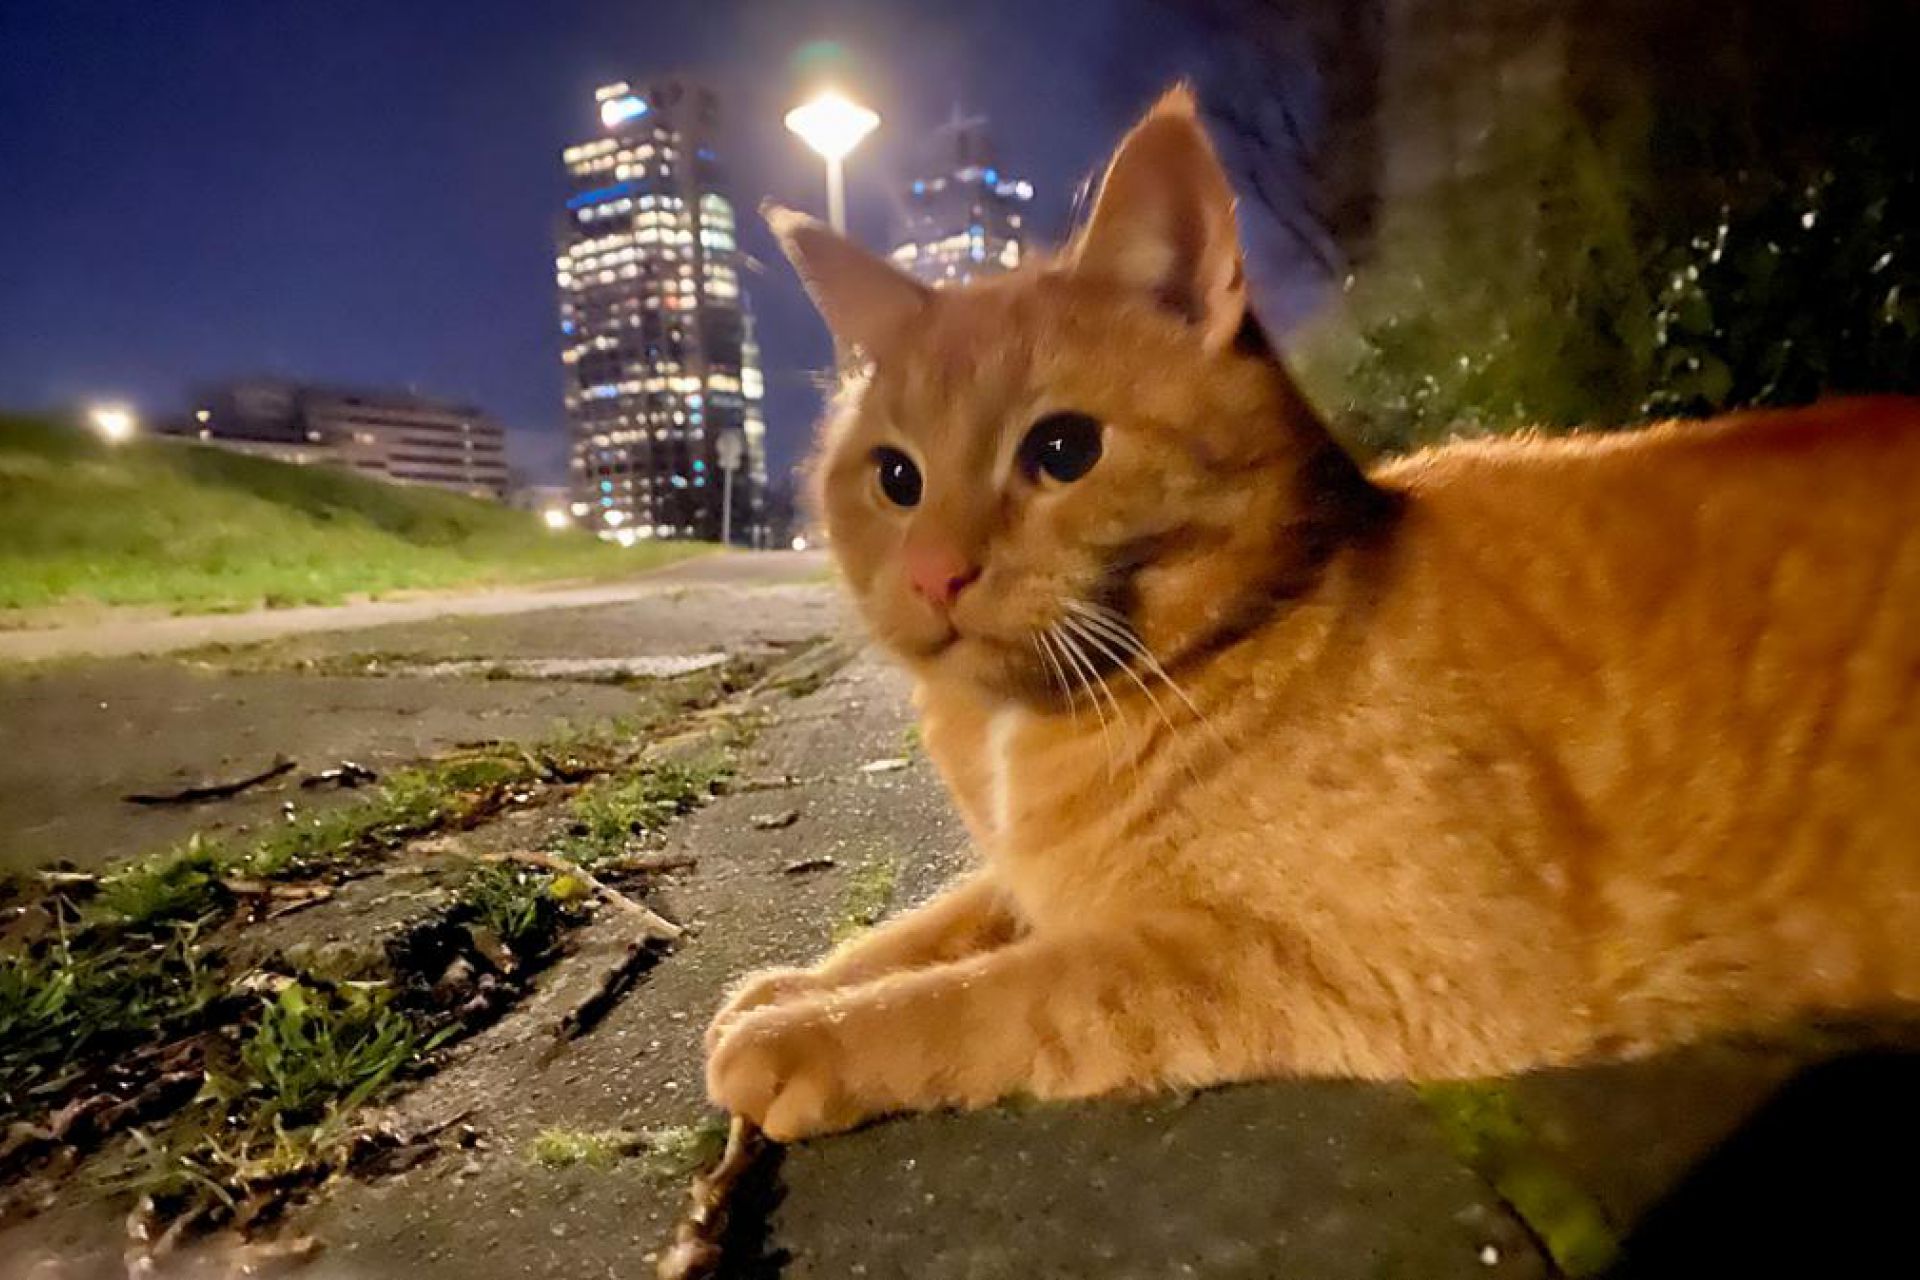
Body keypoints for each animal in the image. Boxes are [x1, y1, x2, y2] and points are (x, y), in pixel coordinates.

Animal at [706, 84, 1920, 1143]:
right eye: (894, 478)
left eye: (1063, 449)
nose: (933, 573)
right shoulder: (1035, 877)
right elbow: (949, 914)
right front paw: (803, 981)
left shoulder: (1368, 960)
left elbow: (1015, 986)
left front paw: (810, 1032)